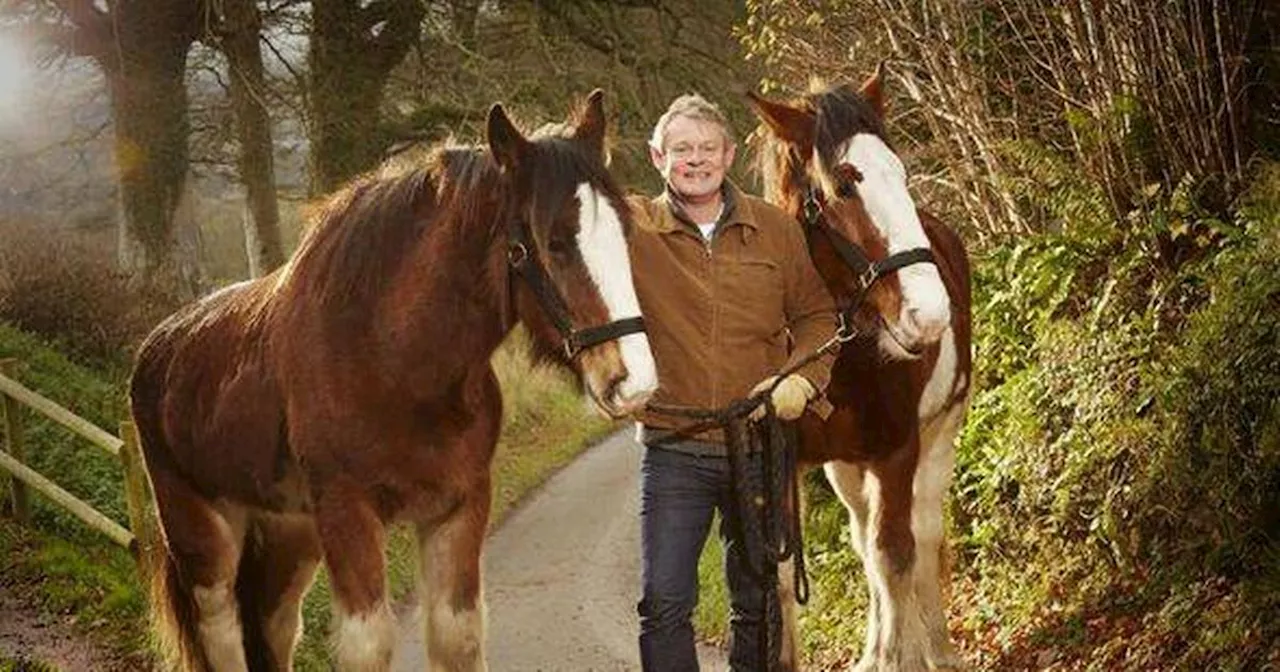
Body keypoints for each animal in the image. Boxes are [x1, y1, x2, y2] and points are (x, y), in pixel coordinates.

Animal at [128, 90, 655, 670]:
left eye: (627, 231)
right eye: (555, 242)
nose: (634, 379)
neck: (394, 361)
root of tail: (155, 348)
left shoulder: (459, 508)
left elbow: (457, 636)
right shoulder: (348, 514)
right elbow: (368, 646)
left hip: (289, 535)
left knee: (273, 625)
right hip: (203, 535)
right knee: (221, 630)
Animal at [747, 65, 967, 665]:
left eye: (902, 172)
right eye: (845, 185)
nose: (930, 313)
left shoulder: (897, 450)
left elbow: (896, 556)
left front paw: (899, 655)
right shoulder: (784, 463)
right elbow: (783, 573)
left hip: (941, 434)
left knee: (922, 532)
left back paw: (936, 647)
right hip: (844, 468)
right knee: (863, 536)